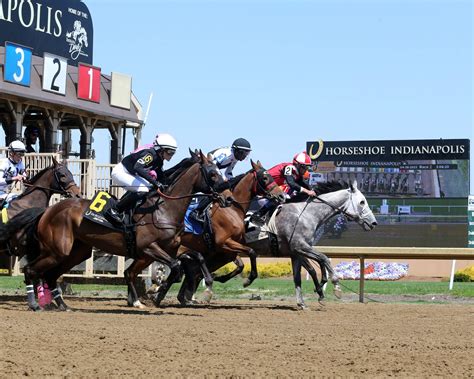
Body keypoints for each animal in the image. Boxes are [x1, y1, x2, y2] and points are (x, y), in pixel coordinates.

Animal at [7, 151, 222, 312]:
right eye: (212, 174)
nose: (224, 195)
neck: (164, 208)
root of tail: (47, 211)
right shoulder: (148, 247)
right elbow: (176, 267)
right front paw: (156, 292)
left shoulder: (172, 247)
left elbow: (194, 258)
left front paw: (207, 288)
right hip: (57, 250)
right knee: (31, 270)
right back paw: (35, 304)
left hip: (75, 252)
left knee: (51, 275)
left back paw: (63, 305)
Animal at [124, 160, 286, 308]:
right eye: (265, 178)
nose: (282, 196)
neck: (231, 210)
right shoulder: (223, 243)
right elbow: (251, 252)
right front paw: (246, 280)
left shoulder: (224, 250)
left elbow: (239, 264)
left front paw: (217, 280)